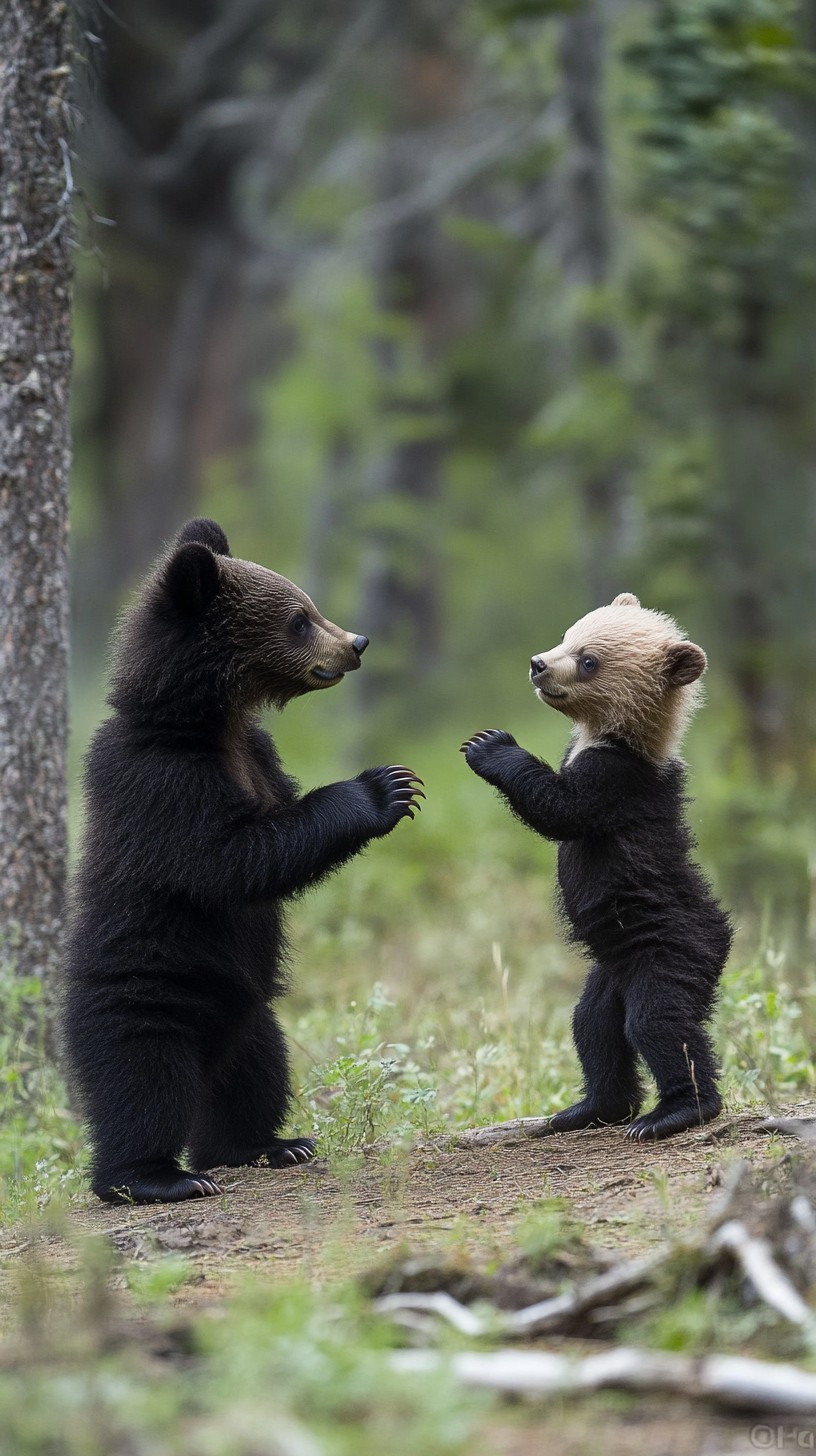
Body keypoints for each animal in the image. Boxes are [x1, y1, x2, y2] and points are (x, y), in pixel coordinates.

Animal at [63, 518, 424, 1203]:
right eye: (300, 619)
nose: (357, 642)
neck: (206, 721)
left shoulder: (258, 753)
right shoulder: (163, 782)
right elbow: (233, 858)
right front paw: (384, 788)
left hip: (248, 1010)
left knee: (254, 1074)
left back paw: (270, 1144)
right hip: (151, 989)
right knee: (141, 1080)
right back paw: (154, 1177)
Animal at [462, 592, 732, 1141]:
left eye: (589, 661)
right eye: (568, 635)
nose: (538, 664)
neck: (613, 736)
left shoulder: (619, 782)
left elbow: (560, 808)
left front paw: (489, 744)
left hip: (671, 948)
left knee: (659, 1022)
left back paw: (674, 1112)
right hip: (609, 970)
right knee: (593, 1028)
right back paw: (587, 1109)